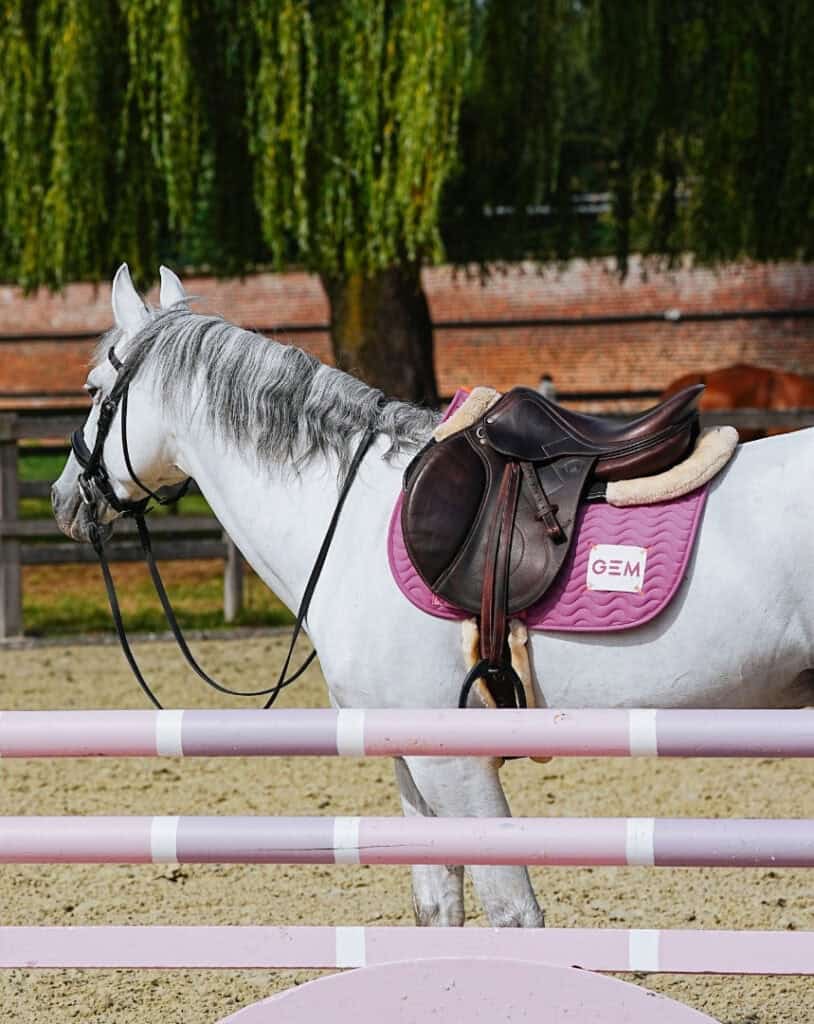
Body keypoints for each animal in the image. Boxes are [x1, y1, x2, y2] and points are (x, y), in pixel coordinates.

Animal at [52, 265, 814, 930]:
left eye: (92, 389)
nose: (64, 500)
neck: (352, 514)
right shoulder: (409, 762)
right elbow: (437, 907)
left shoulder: (453, 761)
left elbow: (512, 913)